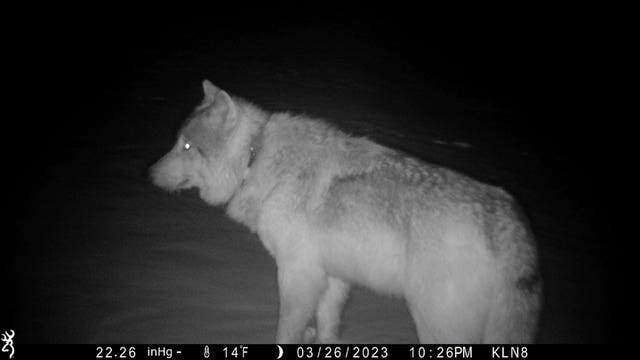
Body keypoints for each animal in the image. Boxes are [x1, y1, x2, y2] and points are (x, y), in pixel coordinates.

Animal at [150, 80, 540, 344]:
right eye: (178, 143)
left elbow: (284, 333)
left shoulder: (298, 275)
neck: (255, 157)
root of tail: (507, 218)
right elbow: (327, 328)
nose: (148, 174)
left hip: (434, 325)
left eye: (187, 146)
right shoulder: (333, 279)